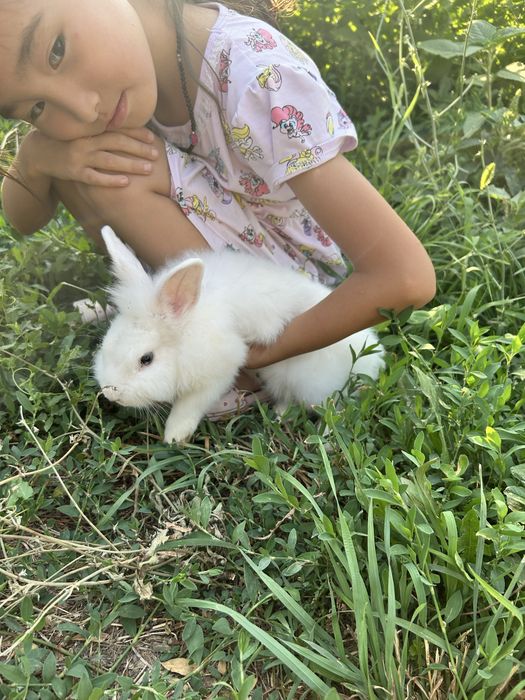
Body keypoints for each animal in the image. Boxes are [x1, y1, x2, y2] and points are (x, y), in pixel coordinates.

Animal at [94, 226, 384, 443]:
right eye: (106, 344)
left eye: (146, 359)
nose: (110, 393)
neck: (188, 330)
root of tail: (372, 356)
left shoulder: (220, 369)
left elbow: (190, 404)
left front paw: (175, 435)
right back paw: (279, 414)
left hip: (313, 381)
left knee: (336, 408)